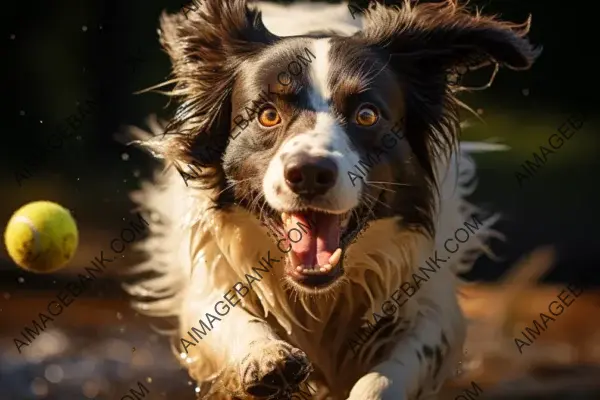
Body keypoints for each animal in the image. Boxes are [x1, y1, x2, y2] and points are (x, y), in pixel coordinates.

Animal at [125, 1, 540, 398]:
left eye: (367, 115)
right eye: (268, 115)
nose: (310, 172)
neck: (320, 297)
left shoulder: (430, 301)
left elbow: (389, 373)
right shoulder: (209, 269)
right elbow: (221, 314)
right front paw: (264, 355)